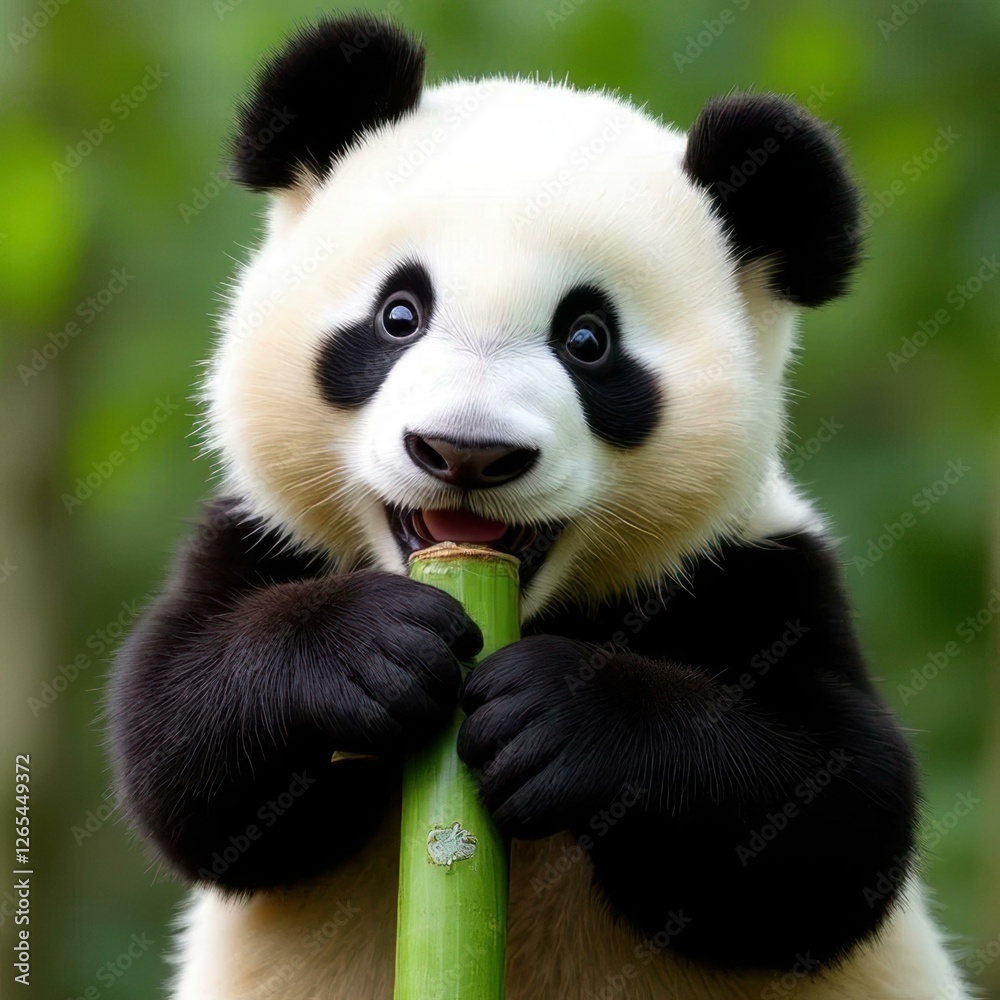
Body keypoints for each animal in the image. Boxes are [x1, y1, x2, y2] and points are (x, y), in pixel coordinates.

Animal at [108, 13, 972, 1000]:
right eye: (399, 314)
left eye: (588, 340)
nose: (466, 450)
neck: (530, 608)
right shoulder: (264, 537)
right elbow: (179, 752)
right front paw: (370, 650)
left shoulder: (758, 572)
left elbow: (836, 815)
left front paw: (557, 715)